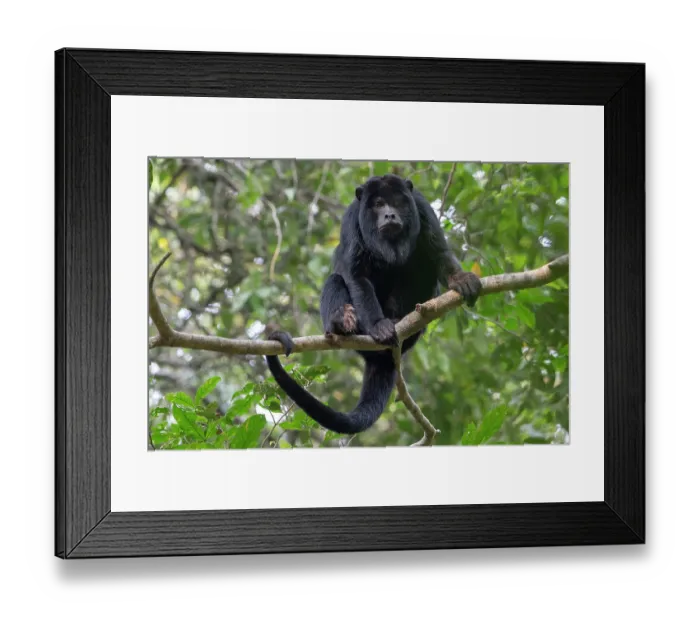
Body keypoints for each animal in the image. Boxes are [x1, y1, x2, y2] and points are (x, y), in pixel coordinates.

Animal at [265, 173, 482, 435]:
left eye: (397, 202)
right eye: (378, 204)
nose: (390, 215)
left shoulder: (422, 207)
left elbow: (438, 253)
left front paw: (462, 279)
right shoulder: (352, 220)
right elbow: (357, 276)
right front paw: (379, 325)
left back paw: (400, 319)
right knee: (335, 280)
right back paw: (341, 323)